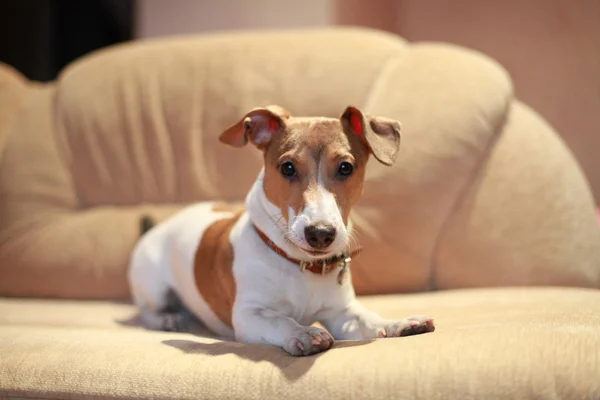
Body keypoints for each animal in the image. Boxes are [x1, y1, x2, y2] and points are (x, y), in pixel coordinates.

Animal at [127, 104, 436, 354]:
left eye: (346, 167)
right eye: (287, 167)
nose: (320, 233)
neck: (301, 265)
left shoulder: (341, 314)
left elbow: (368, 319)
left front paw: (397, 323)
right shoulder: (250, 315)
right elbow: (280, 320)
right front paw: (303, 333)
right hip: (153, 286)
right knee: (147, 311)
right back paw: (168, 318)